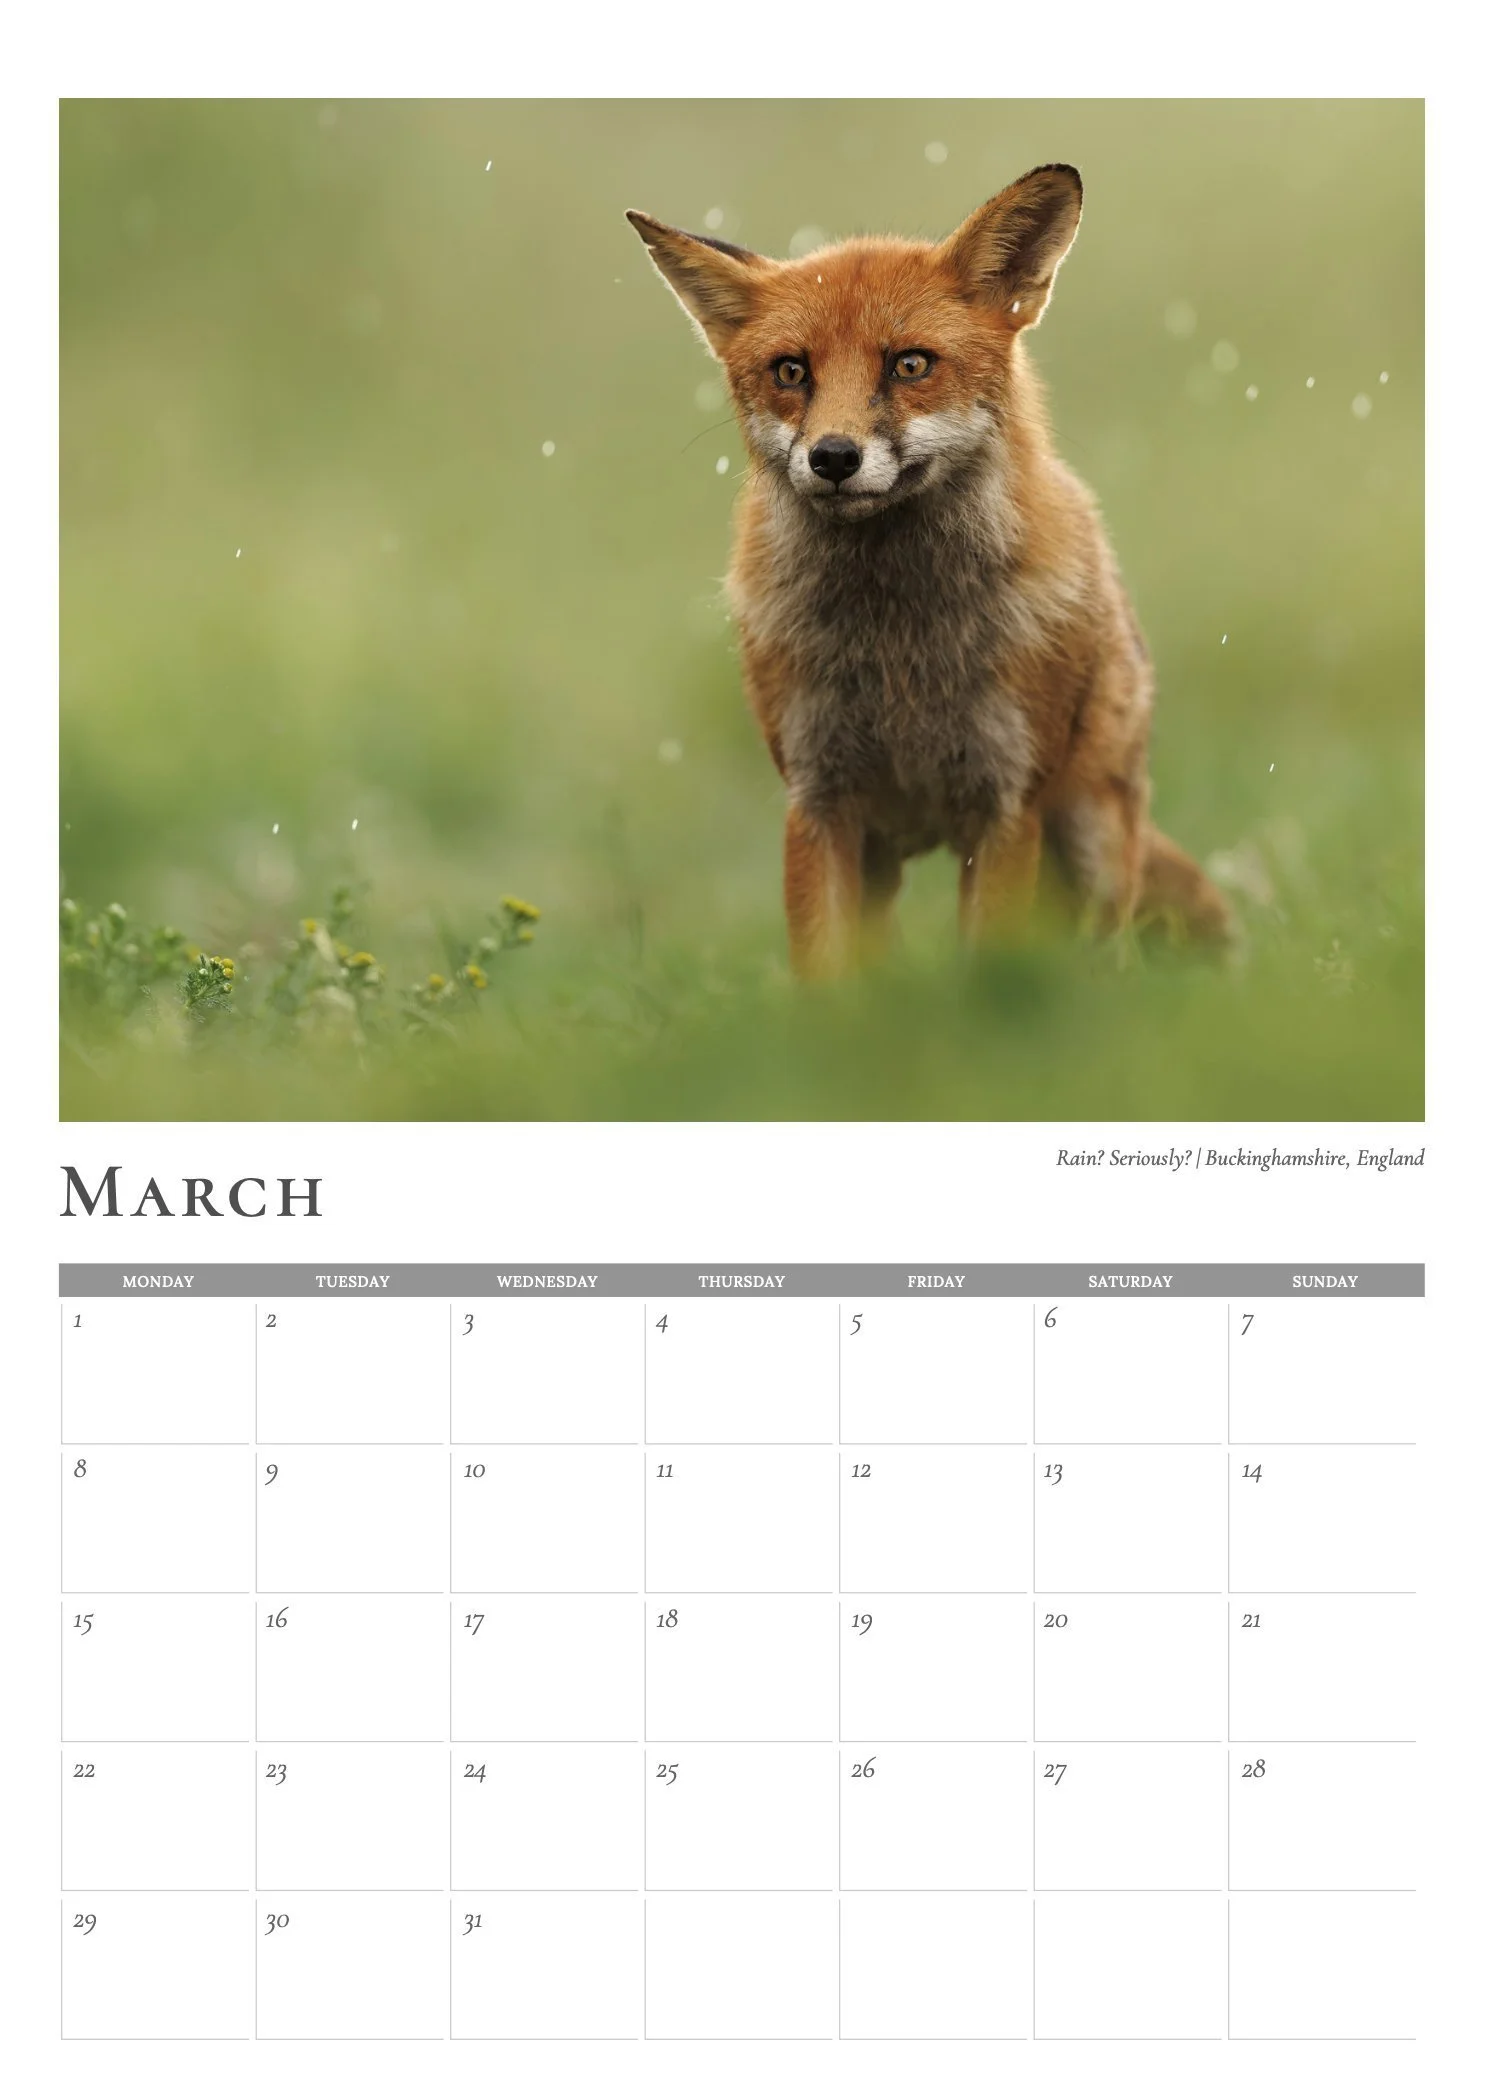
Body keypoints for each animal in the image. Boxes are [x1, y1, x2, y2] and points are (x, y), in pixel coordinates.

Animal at [626, 164, 1235, 977]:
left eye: (909, 364)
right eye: (791, 371)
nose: (833, 457)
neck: (897, 643)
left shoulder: (1006, 803)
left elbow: (991, 970)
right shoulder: (818, 800)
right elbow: (827, 976)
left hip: (1092, 846)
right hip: (888, 860)